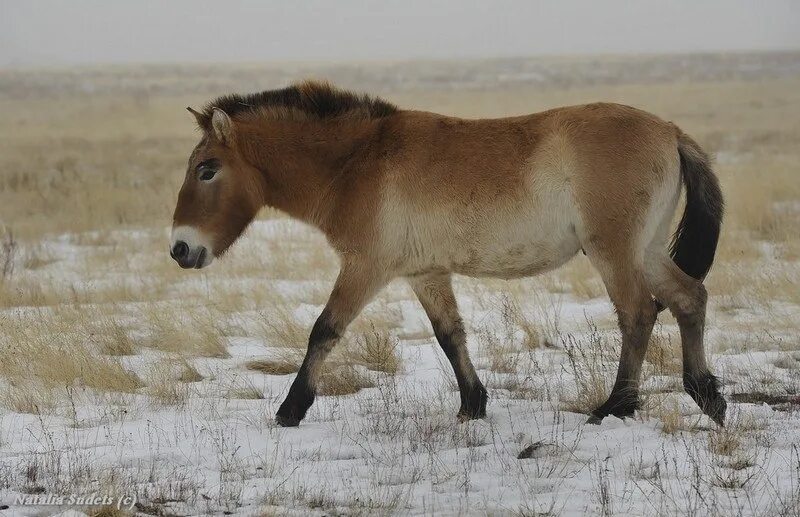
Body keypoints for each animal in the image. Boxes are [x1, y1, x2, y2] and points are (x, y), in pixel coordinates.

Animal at [169, 80, 724, 428]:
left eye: (207, 169)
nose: (180, 248)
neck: (355, 164)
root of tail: (670, 131)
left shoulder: (366, 268)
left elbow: (324, 330)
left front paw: (291, 410)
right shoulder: (425, 273)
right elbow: (449, 335)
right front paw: (473, 406)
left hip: (615, 251)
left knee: (638, 314)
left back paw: (616, 407)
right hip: (646, 250)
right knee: (689, 298)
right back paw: (707, 396)